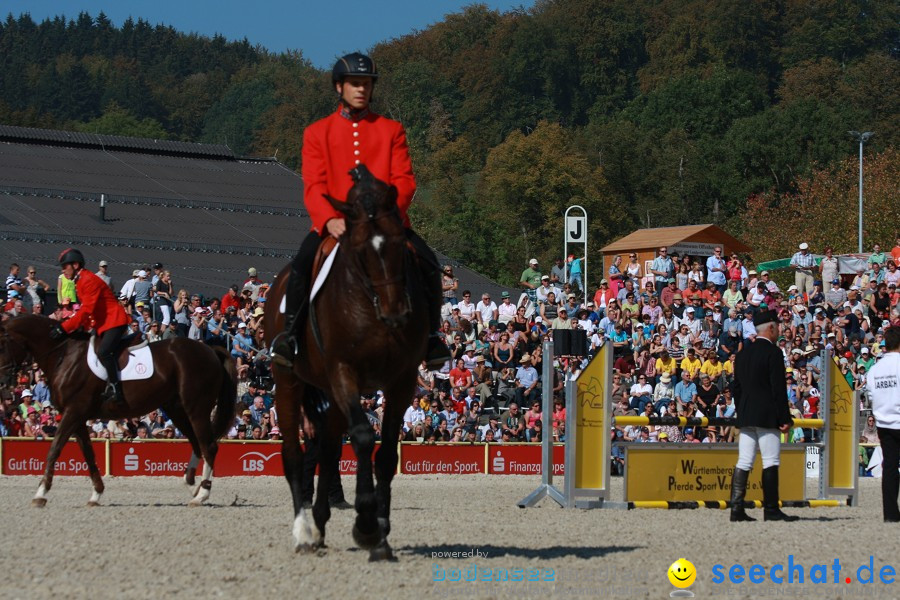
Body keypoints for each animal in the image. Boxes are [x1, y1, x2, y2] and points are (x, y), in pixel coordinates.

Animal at [0, 314, 236, 506]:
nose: (4, 382)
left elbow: (55, 449)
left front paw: (40, 494)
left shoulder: (73, 412)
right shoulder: (77, 417)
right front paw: (96, 494)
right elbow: (88, 453)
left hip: (197, 408)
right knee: (197, 444)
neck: (65, 356)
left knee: (208, 446)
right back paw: (192, 486)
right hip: (177, 409)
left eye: (2, 344)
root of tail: (208, 349)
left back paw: (201, 494)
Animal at [264, 163, 428, 556]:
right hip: (288, 382)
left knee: (326, 448)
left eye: (399, 243)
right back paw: (304, 531)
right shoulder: (344, 372)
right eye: (360, 249)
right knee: (294, 454)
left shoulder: (402, 380)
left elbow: (386, 454)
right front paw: (366, 524)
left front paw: (380, 527)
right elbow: (364, 437)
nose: (396, 313)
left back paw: (321, 521)